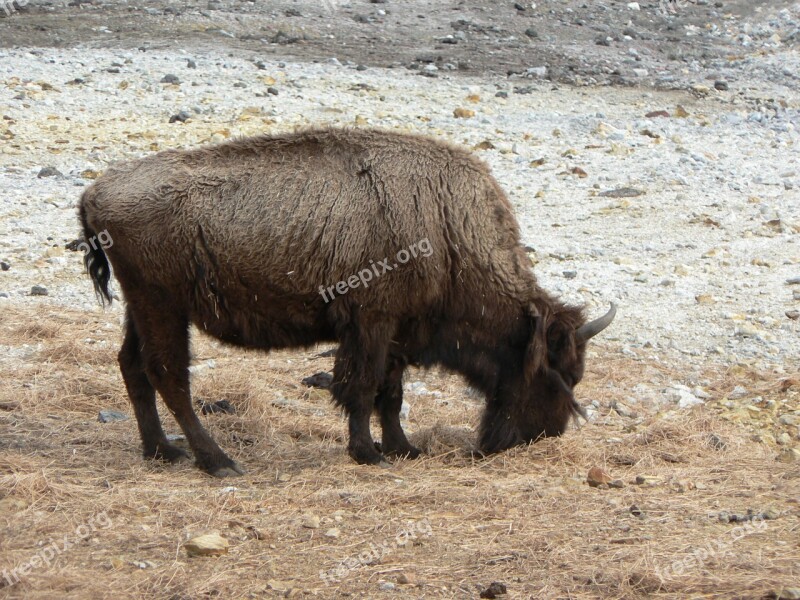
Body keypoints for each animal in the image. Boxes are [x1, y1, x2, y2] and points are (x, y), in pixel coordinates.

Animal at [81, 127, 616, 478]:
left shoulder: (397, 329)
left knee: (133, 367)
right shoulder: (371, 323)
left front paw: (403, 449)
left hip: (141, 309)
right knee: (169, 376)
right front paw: (369, 453)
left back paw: (161, 452)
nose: (542, 436)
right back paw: (217, 461)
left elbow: (390, 393)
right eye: (557, 373)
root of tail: (94, 193)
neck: (447, 230)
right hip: (162, 307)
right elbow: (362, 388)